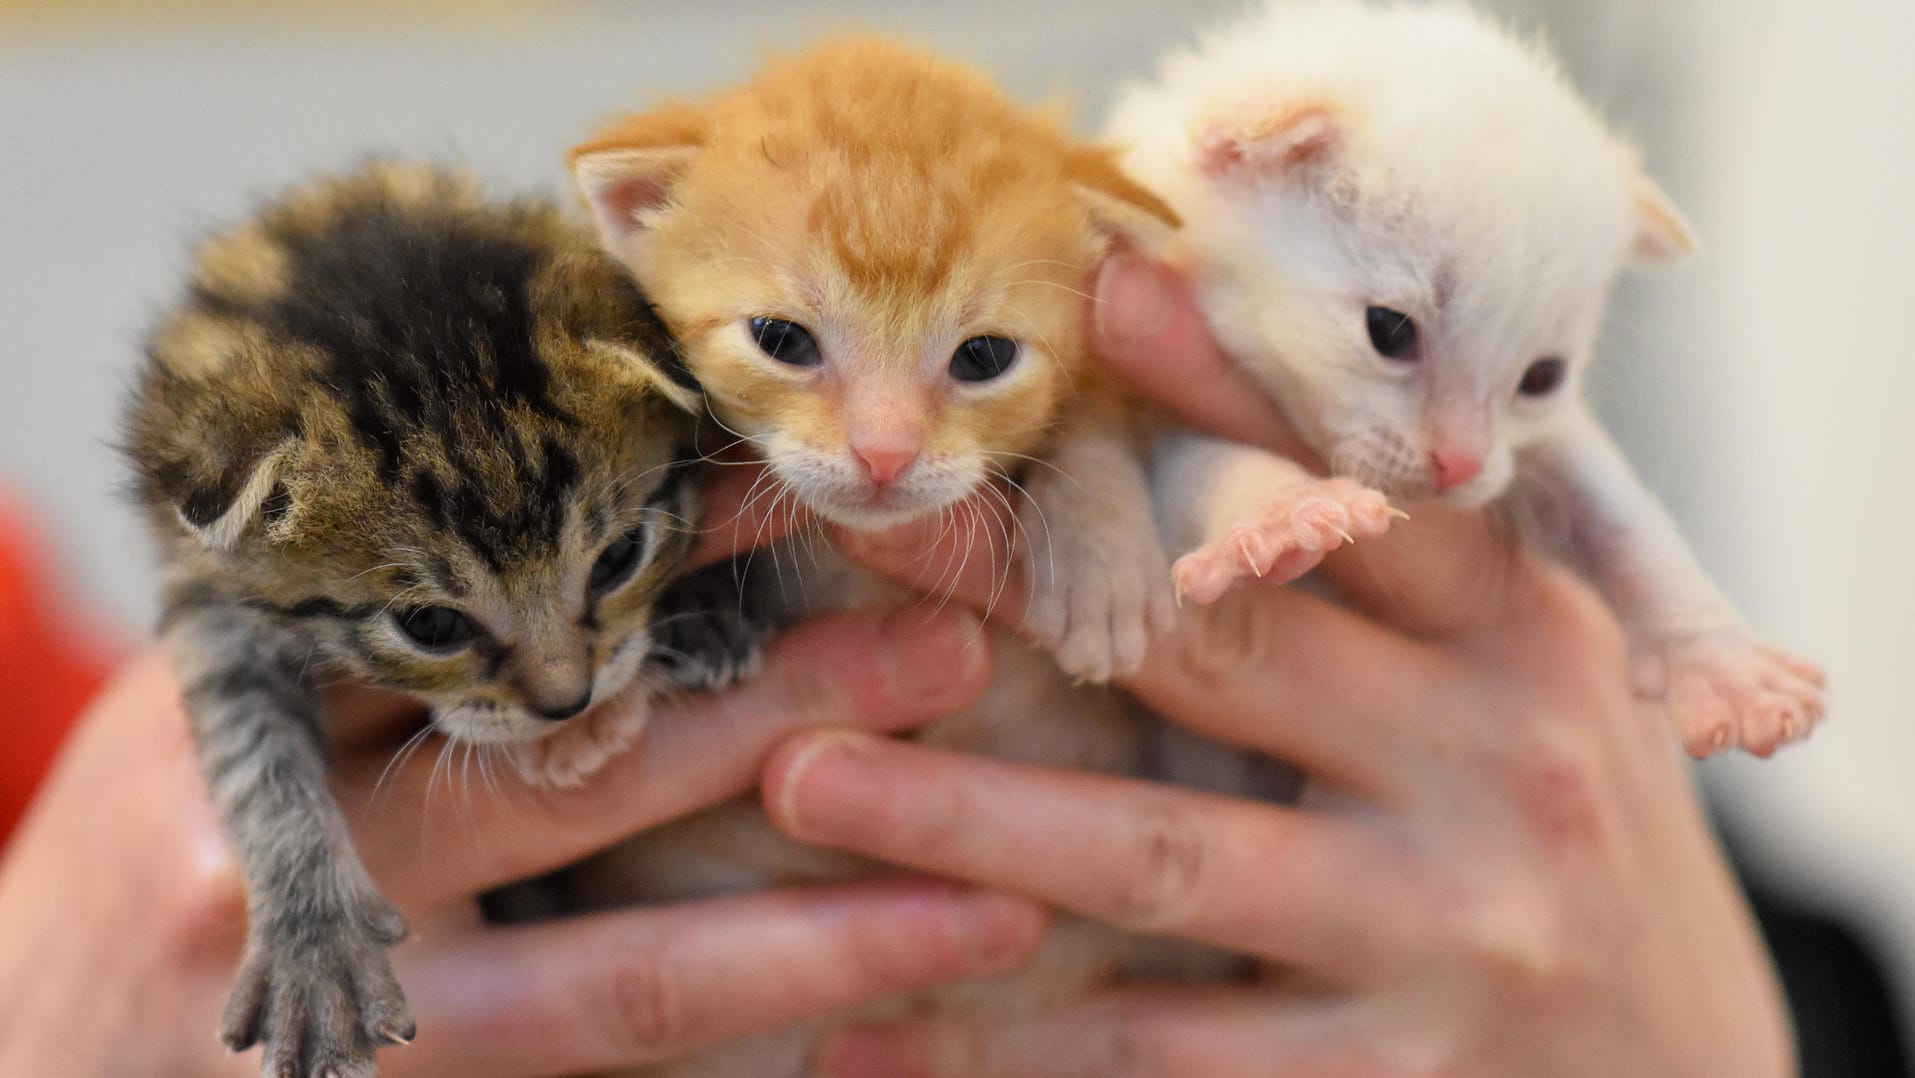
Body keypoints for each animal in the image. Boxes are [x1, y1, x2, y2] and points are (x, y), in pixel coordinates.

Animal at [123, 162, 750, 1078]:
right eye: (432, 627)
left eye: (618, 557)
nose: (567, 702)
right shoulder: (206, 594)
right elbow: (250, 751)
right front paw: (313, 944)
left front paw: (711, 610)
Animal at [1118, 0, 1830, 758]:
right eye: (1389, 332)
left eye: (1542, 378)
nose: (1459, 463)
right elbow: (1199, 464)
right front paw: (1283, 510)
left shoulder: (1529, 450)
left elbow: (1616, 509)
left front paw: (1721, 663)